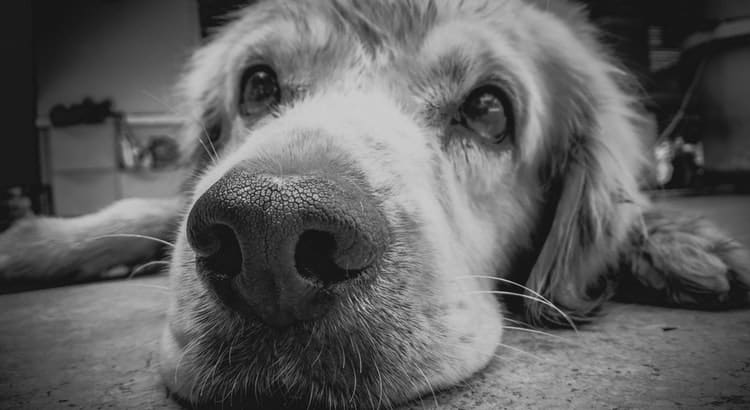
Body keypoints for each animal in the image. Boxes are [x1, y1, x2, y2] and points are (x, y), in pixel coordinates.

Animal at [1, 0, 750, 408]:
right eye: (259, 85)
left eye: (489, 110)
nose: (270, 232)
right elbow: (138, 214)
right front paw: (28, 244)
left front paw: (682, 243)